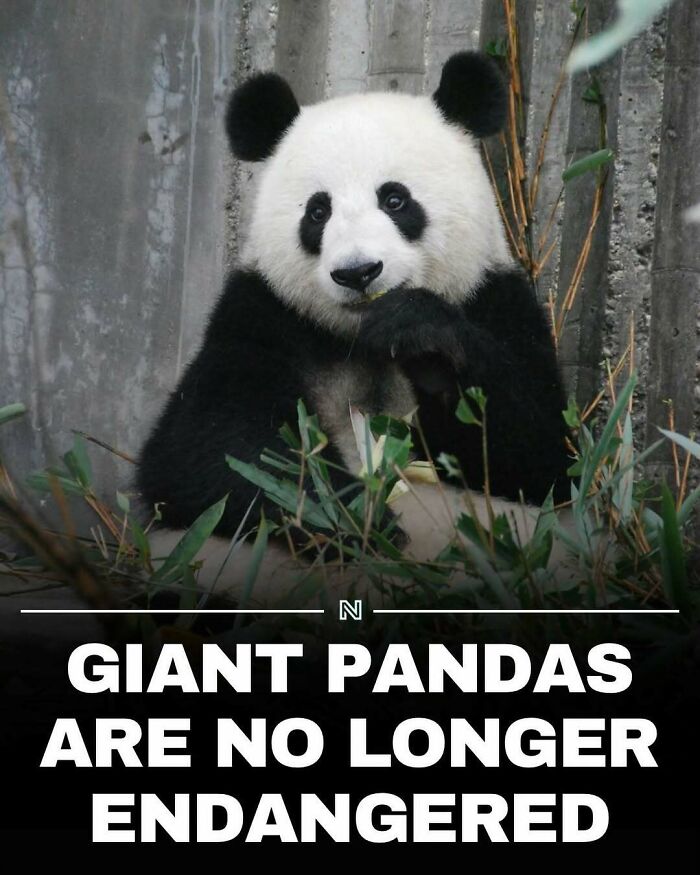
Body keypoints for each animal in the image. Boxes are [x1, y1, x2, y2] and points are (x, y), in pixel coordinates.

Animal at [138, 52, 571, 597]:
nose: (358, 272)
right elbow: (208, 452)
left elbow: (543, 455)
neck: (360, 339)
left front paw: (420, 335)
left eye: (395, 200)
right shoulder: (261, 316)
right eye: (317, 211)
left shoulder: (494, 299)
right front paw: (353, 516)